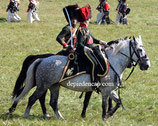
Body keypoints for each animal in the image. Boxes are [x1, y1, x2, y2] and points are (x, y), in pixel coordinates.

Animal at [11, 35, 150, 120]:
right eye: (139, 49)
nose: (147, 65)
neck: (112, 62)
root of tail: (41, 59)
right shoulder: (105, 91)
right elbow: (104, 105)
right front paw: (104, 118)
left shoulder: (109, 90)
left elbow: (118, 102)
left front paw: (108, 115)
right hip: (43, 86)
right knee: (32, 98)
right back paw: (26, 114)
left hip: (54, 86)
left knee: (52, 102)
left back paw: (60, 118)